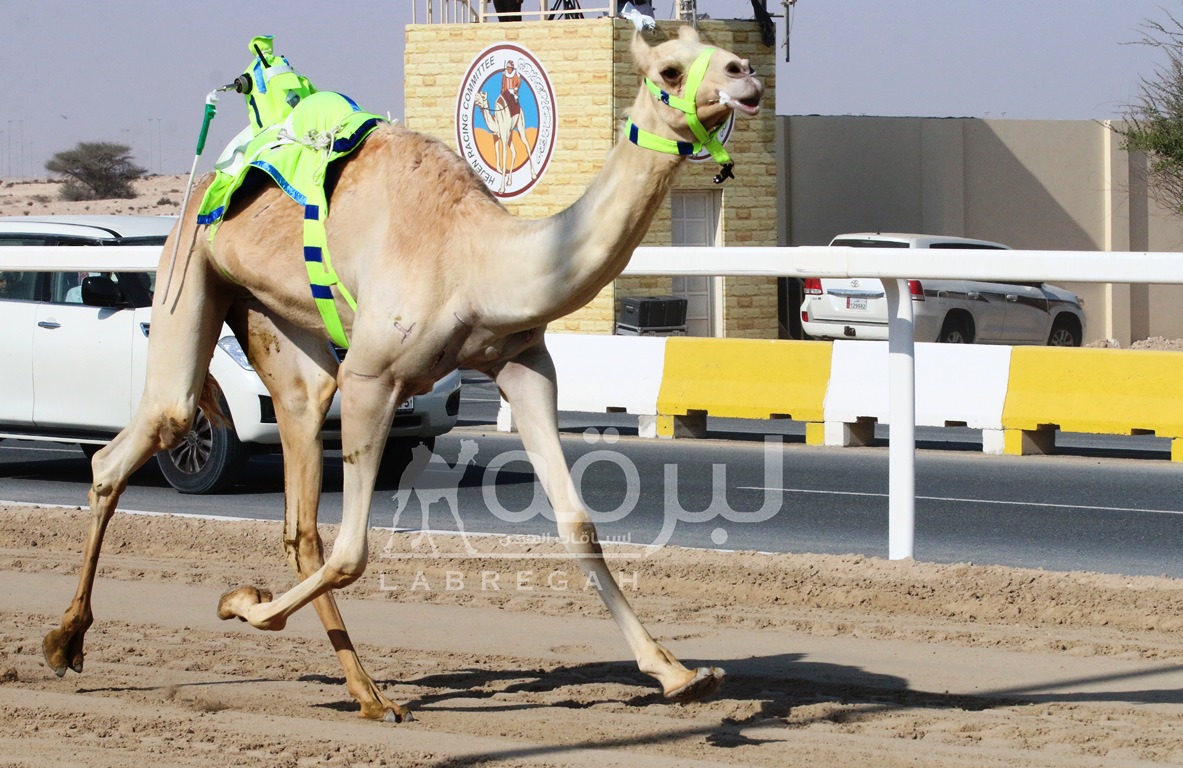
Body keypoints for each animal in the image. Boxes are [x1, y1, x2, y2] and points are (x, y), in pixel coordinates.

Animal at [41, 22, 761, 719]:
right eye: (669, 70)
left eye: (716, 49)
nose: (745, 76)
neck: (477, 259)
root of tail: (202, 185)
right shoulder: (374, 377)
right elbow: (354, 552)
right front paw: (239, 604)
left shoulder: (521, 362)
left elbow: (577, 523)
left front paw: (679, 674)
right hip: (189, 266)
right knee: (145, 435)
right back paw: (63, 641)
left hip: (272, 318)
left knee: (300, 484)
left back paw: (369, 694)